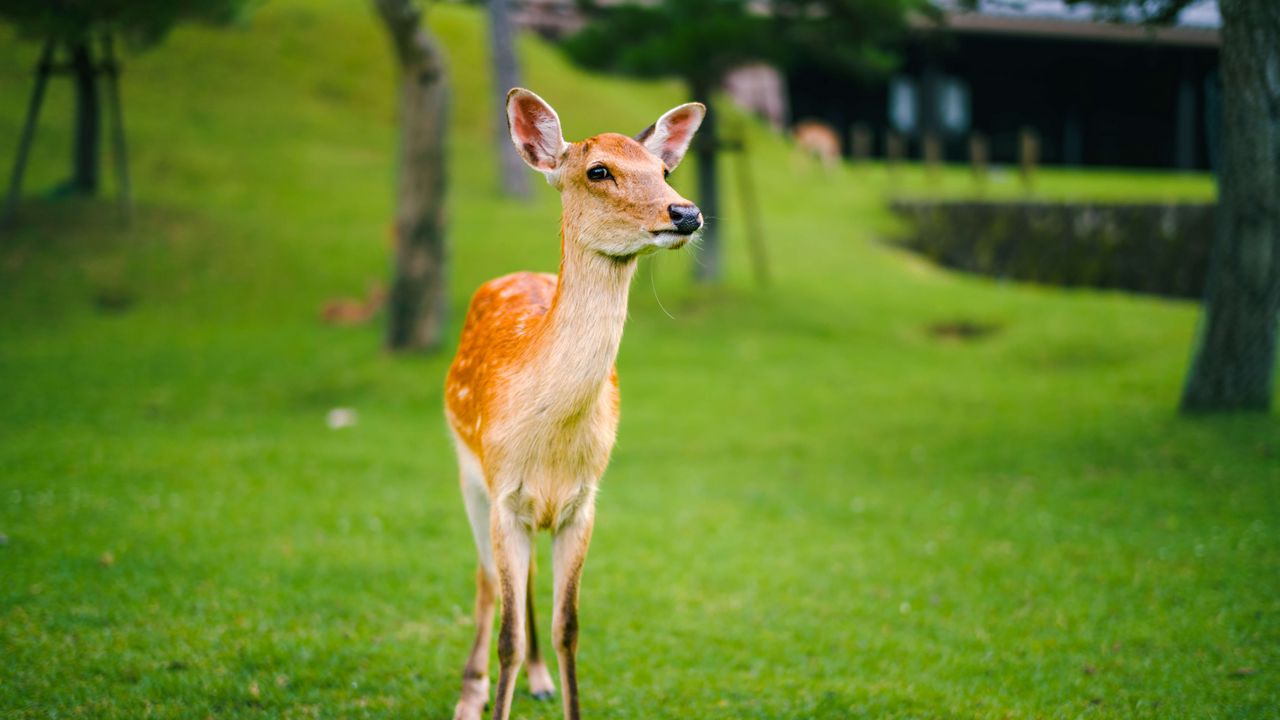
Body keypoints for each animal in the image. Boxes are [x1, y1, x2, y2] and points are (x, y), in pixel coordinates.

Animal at [442, 90, 706, 717]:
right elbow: (509, 635)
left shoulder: (583, 502)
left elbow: (570, 628)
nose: (686, 212)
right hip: (466, 469)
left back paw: (538, 679)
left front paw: (555, 683)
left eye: (664, 171)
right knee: (485, 579)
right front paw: (492, 694)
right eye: (598, 171)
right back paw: (469, 694)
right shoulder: (503, 492)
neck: (552, 444)